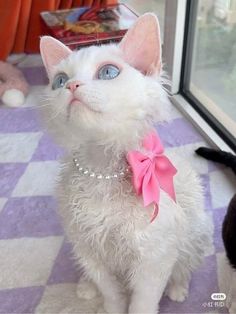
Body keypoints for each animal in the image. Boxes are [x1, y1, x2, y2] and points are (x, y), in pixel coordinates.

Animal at [39, 12, 213, 314]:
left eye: (108, 72)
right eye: (59, 81)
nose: (71, 86)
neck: (102, 169)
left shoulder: (154, 258)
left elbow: (142, 301)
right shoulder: (87, 246)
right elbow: (111, 293)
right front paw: (109, 306)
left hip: (196, 234)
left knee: (184, 266)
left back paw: (178, 288)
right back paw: (86, 287)